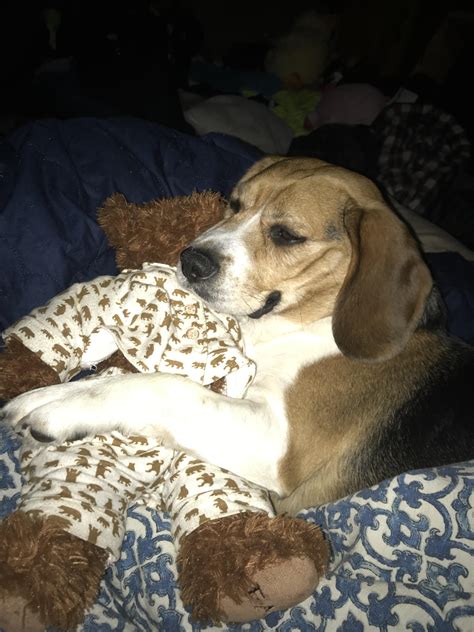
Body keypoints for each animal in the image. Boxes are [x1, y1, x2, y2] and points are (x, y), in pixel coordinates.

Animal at [4, 157, 474, 512]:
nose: (190, 261)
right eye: (234, 203)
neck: (310, 322)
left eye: (286, 235)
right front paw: (45, 395)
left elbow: (165, 387)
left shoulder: (275, 445)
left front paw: (62, 409)